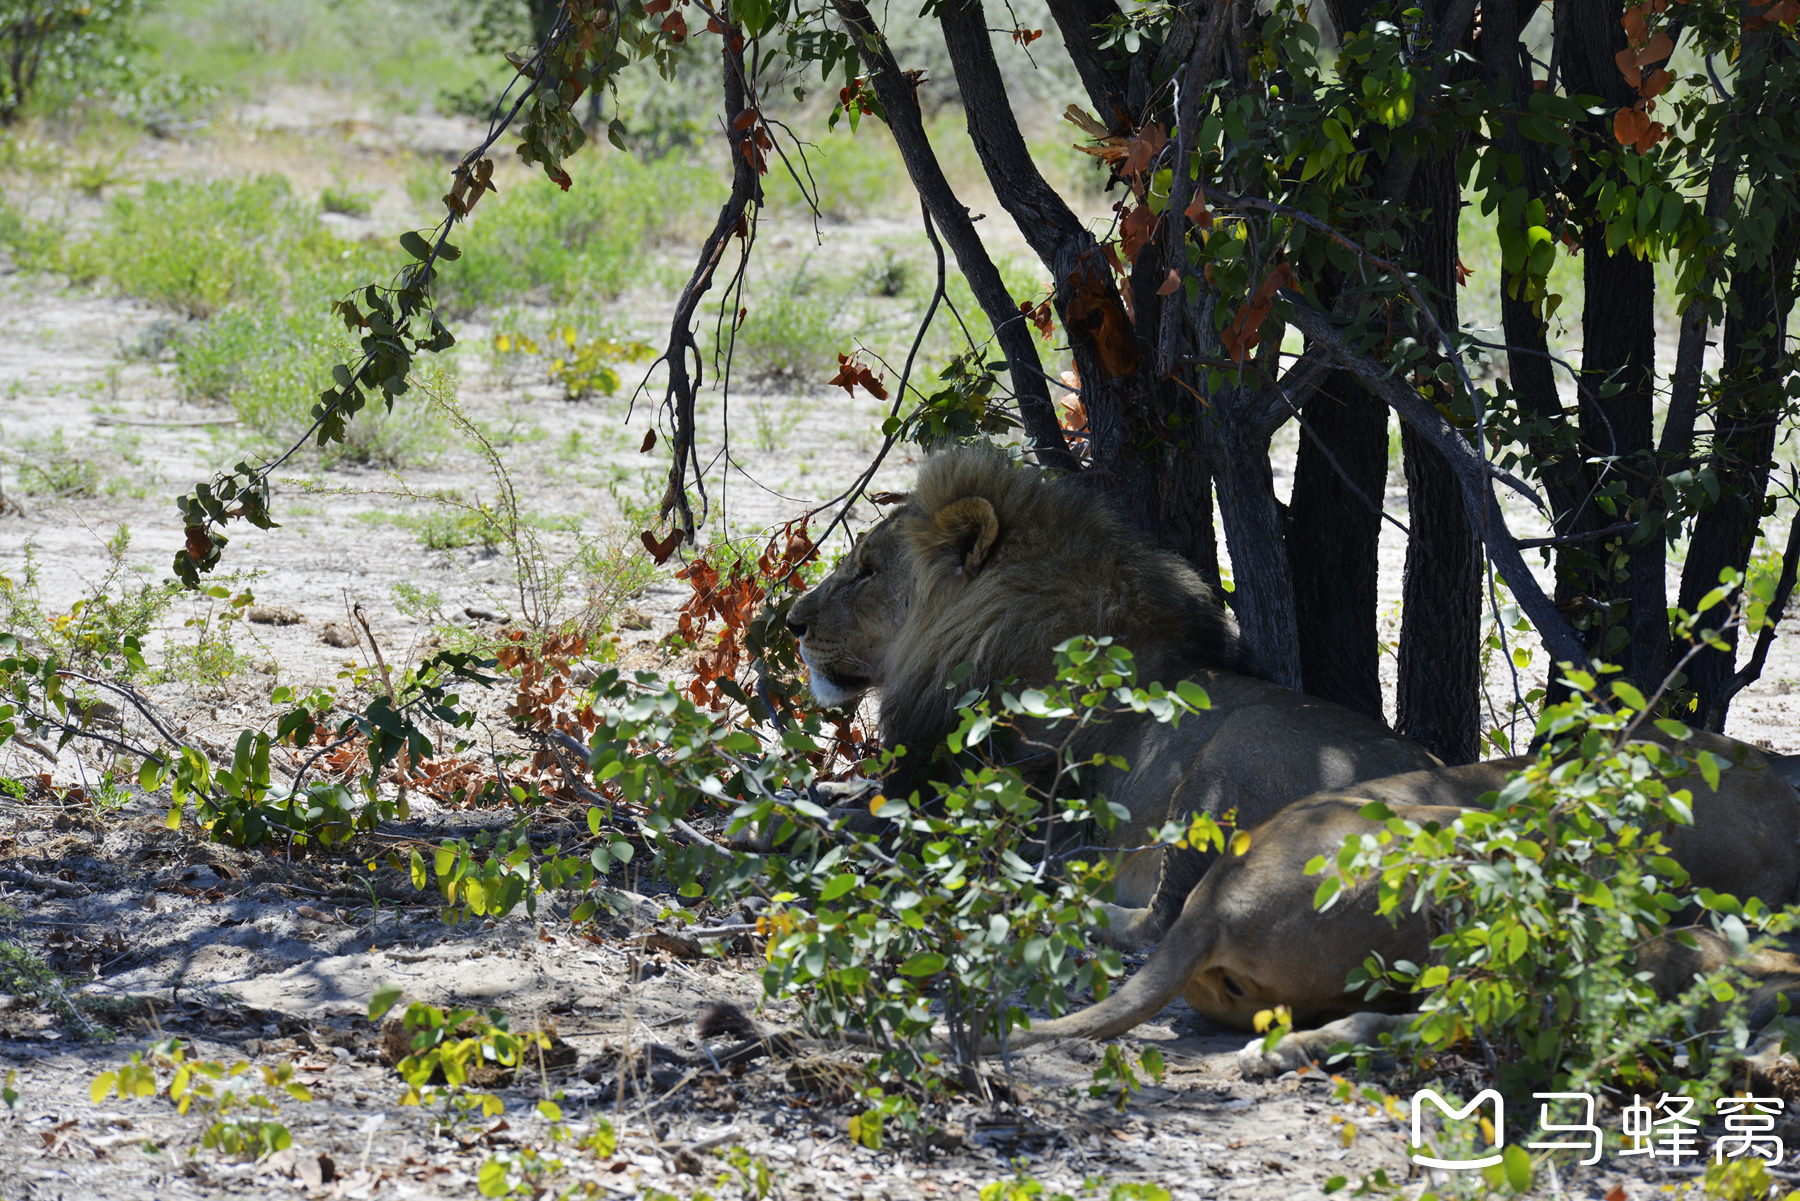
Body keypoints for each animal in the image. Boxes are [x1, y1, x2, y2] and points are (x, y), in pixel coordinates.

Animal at [781, 446, 1440, 943]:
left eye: (868, 570)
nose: (792, 623)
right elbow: (863, 795)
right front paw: (827, 789)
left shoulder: (990, 803)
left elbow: (850, 824)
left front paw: (781, 821)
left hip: (1234, 755)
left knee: (1165, 921)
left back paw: (1062, 894)